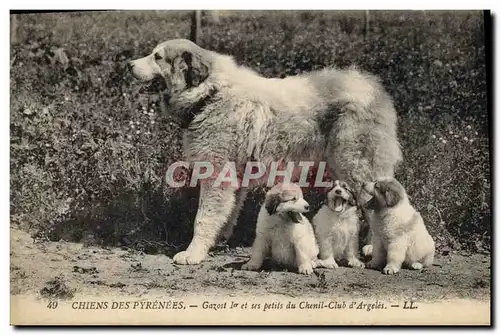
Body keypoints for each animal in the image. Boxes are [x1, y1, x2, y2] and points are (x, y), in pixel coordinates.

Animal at [129, 39, 402, 266]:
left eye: (157, 56)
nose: (129, 64)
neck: (209, 94)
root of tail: (374, 88)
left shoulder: (216, 174)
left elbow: (203, 218)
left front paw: (193, 253)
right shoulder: (235, 176)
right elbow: (227, 212)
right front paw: (217, 241)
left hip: (357, 167)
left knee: (374, 204)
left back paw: (370, 247)